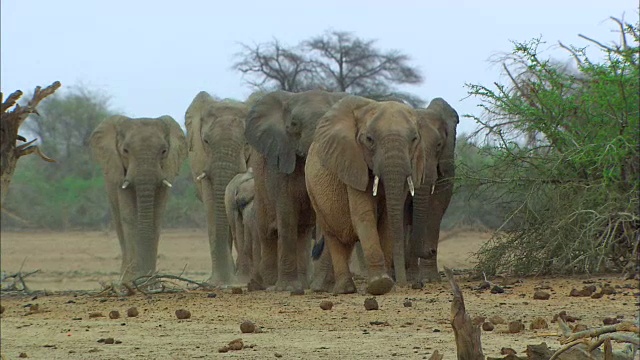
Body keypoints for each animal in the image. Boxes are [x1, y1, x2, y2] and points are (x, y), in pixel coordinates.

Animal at [89, 114, 188, 282]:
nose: (144, 276)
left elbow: (157, 217)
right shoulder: (120, 173)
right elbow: (129, 216)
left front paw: (149, 282)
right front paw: (136, 280)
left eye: (164, 151)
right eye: (125, 150)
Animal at [185, 91, 250, 286]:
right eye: (206, 141)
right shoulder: (202, 159)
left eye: (247, 142)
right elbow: (213, 205)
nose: (227, 280)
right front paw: (219, 281)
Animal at [245, 88, 348, 292]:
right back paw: (270, 283)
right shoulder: (280, 160)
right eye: (293, 124)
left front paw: (321, 287)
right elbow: (286, 215)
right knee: (267, 231)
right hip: (260, 187)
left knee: (302, 233)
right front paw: (287, 288)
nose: (316, 251)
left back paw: (303, 284)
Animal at [304, 95, 456, 296]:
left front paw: (389, 282)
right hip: (313, 192)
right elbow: (364, 215)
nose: (430, 250)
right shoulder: (353, 164)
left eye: (414, 139)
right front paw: (380, 284)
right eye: (369, 139)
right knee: (333, 235)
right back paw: (343, 289)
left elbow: (389, 220)